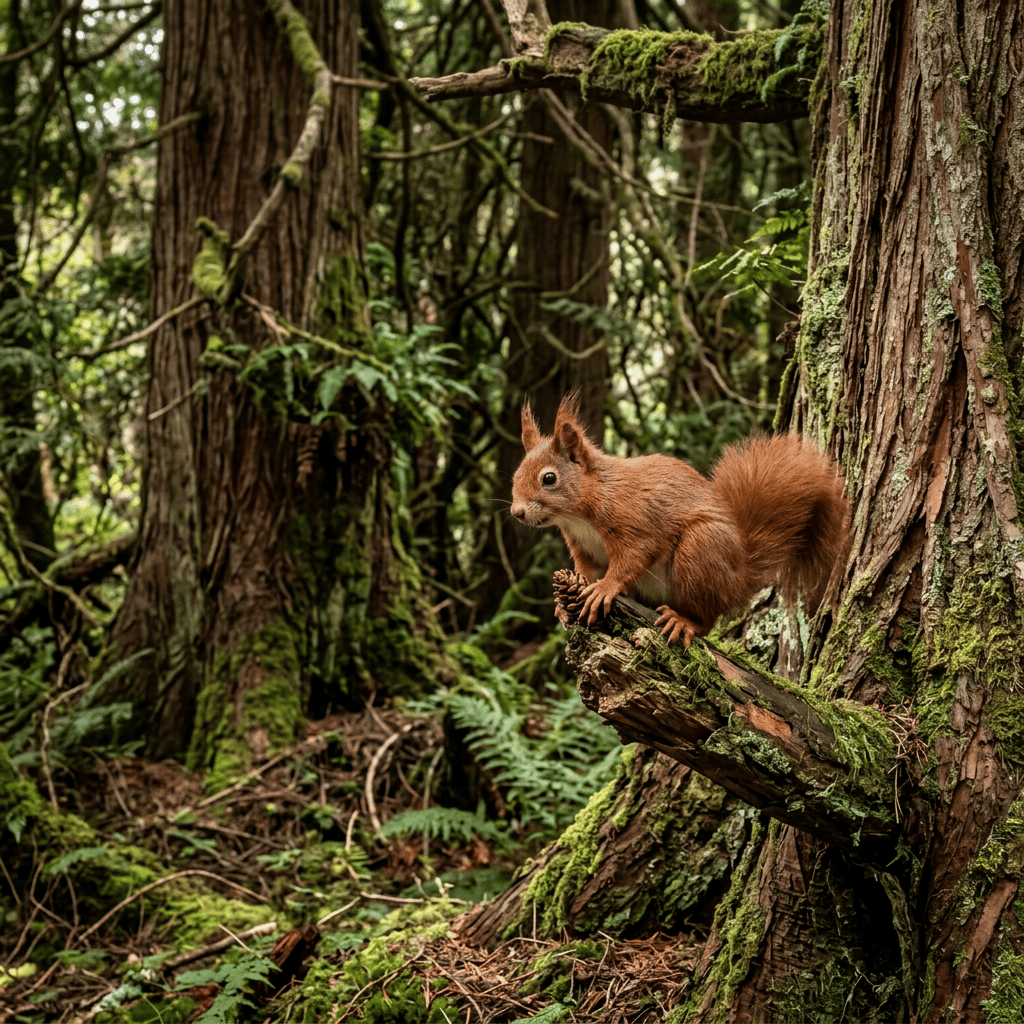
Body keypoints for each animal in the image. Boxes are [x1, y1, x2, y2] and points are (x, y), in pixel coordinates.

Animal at [510, 395, 850, 646]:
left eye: (549, 478)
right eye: (516, 474)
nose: (517, 512)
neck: (579, 515)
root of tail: (740, 576)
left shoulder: (635, 520)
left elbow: (633, 557)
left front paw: (604, 588)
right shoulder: (583, 546)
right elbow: (585, 569)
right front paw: (566, 599)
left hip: (701, 548)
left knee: (707, 618)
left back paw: (684, 621)